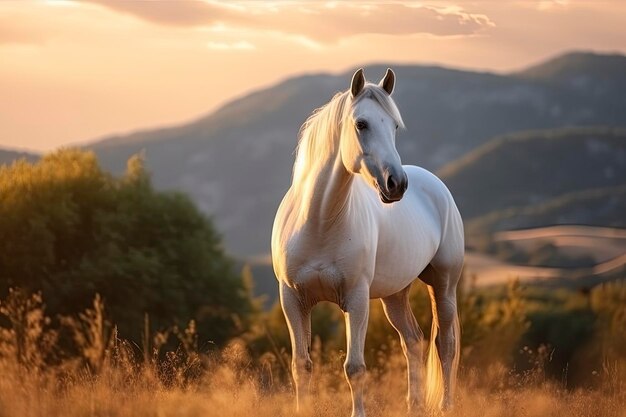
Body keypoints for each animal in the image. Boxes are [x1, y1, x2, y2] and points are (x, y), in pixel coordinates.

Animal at [270, 66, 460, 414]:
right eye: (362, 124)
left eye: (395, 125)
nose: (397, 184)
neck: (318, 222)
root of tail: (435, 184)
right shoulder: (292, 300)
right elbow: (301, 365)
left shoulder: (356, 300)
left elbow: (355, 368)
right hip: (395, 295)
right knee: (414, 341)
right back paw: (414, 406)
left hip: (444, 285)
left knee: (446, 346)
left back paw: (446, 406)